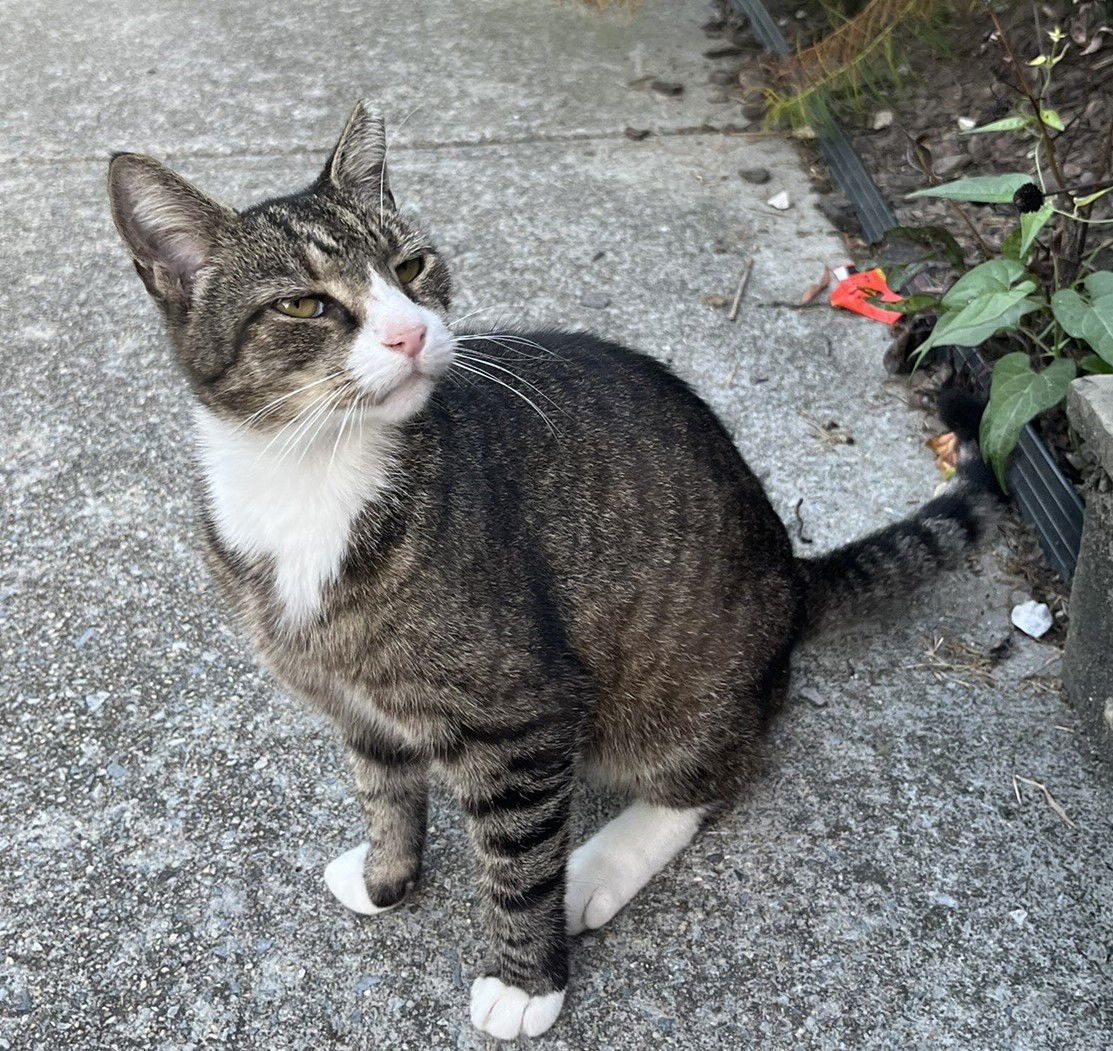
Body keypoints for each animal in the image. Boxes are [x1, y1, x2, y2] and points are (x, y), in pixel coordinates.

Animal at [106, 102, 1001, 1037]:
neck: (309, 475)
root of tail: (791, 573)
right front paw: (389, 876)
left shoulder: (522, 714)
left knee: (712, 772)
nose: (411, 331)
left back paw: (600, 865)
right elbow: (383, 789)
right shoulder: (353, 701)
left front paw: (524, 980)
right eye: (304, 304)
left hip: (678, 691)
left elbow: (518, 859)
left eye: (410, 266)